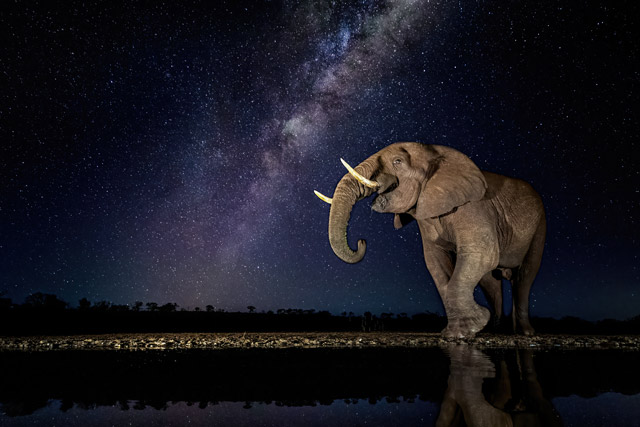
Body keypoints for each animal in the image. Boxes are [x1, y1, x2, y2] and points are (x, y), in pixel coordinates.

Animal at [315, 142, 546, 338]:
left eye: (397, 161)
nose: (362, 241)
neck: (437, 154)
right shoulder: (426, 216)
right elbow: (436, 263)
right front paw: (460, 332)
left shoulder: (474, 207)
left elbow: (481, 254)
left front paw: (467, 330)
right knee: (491, 281)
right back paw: (495, 331)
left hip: (540, 227)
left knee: (524, 277)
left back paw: (525, 333)